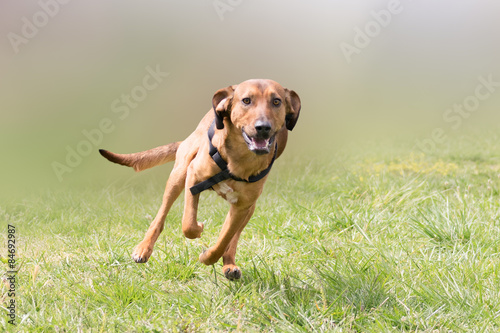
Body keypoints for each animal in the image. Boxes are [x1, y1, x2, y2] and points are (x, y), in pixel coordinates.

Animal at [99, 79, 298, 278]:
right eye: (246, 100)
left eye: (277, 101)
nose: (263, 127)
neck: (238, 160)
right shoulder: (193, 176)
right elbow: (188, 224)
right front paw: (199, 228)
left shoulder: (242, 206)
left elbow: (225, 239)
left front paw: (208, 257)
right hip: (178, 174)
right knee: (159, 218)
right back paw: (143, 249)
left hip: (250, 208)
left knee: (233, 239)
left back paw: (230, 265)